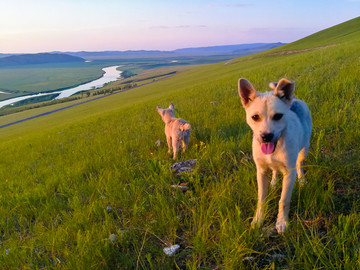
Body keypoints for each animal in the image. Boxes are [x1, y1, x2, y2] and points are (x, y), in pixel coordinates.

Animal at [238, 78, 310, 234]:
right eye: (255, 117)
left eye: (278, 116)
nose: (266, 136)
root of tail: (294, 99)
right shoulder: (261, 171)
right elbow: (261, 198)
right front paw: (258, 220)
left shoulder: (289, 173)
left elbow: (284, 200)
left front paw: (282, 222)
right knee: (275, 169)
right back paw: (274, 182)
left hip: (304, 150)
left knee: (299, 164)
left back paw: (302, 180)